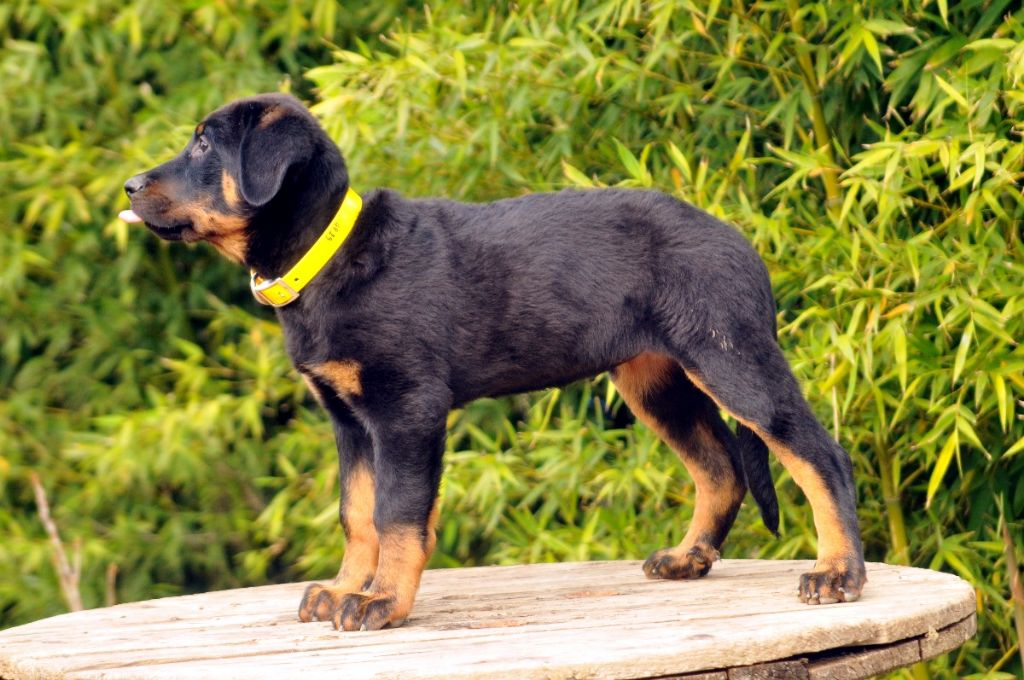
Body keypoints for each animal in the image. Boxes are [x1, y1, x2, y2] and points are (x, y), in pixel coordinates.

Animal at [122, 93, 866, 631]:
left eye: (204, 144)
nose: (128, 187)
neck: (326, 254)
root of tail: (743, 244)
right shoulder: (349, 419)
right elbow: (356, 512)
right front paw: (341, 589)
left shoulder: (406, 409)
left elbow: (397, 514)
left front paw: (381, 601)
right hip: (655, 379)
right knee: (719, 466)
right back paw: (690, 558)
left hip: (731, 355)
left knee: (818, 453)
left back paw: (838, 573)